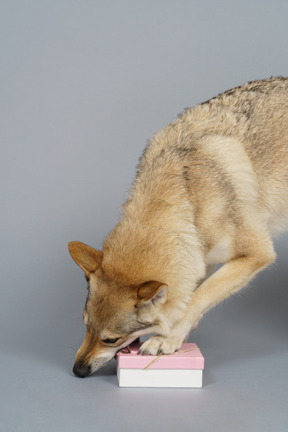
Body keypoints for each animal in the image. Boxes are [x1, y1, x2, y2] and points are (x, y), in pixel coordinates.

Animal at [68, 77, 286, 378]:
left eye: (110, 339)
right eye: (86, 326)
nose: (77, 371)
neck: (187, 197)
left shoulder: (255, 255)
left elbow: (197, 299)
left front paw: (167, 338)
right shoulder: (201, 260)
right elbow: (194, 297)